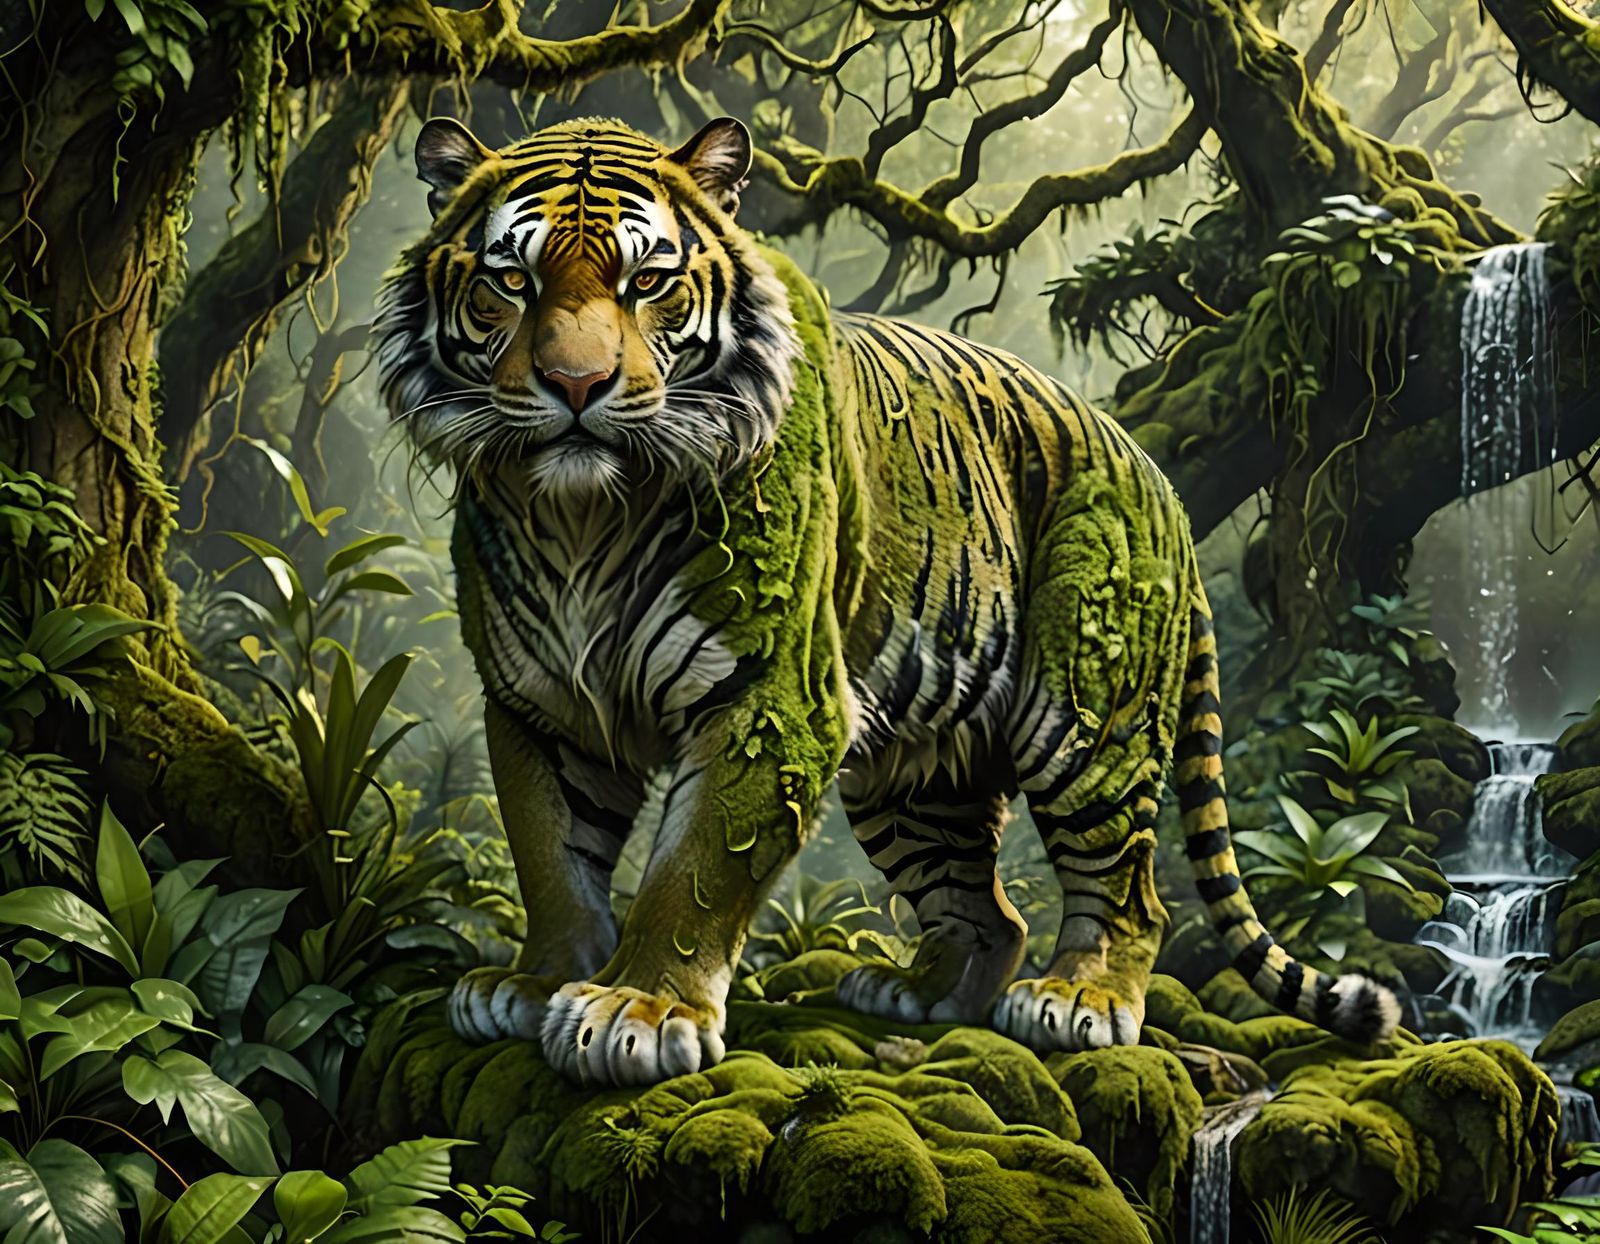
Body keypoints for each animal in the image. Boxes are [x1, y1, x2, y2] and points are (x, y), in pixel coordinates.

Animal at [376, 114, 1400, 1088]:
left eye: (648, 282)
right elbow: (552, 855)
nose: (577, 385)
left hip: (1085, 714)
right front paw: (535, 983)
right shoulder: (539, 707)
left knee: (1128, 886)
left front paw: (640, 1009)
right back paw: (920, 990)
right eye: (512, 281)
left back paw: (1080, 998)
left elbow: (692, 871)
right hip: (913, 772)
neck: (583, 516)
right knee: (990, 909)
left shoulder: (770, 698)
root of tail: (1158, 479)